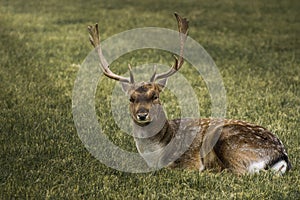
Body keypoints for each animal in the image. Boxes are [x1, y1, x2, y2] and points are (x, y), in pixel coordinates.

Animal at [88, 13, 292, 174]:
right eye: (131, 98)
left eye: (155, 96)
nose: (143, 114)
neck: (155, 153)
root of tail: (281, 156)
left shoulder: (185, 160)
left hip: (228, 141)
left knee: (238, 172)